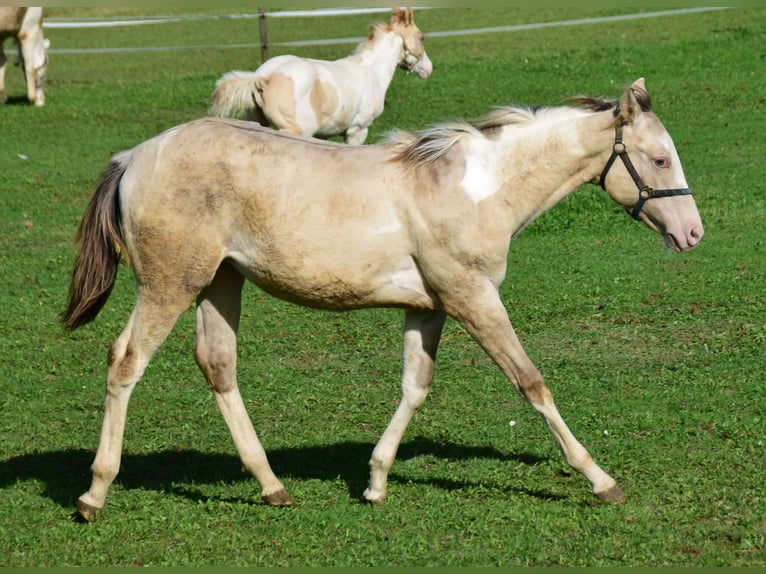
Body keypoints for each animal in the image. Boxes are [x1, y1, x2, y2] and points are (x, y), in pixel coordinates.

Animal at [63, 79, 704, 524]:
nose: (693, 234)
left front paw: (374, 481)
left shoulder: (429, 308)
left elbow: (415, 387)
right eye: (660, 158)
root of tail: (134, 157)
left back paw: (272, 486)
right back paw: (94, 493)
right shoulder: (474, 299)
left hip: (220, 282)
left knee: (218, 366)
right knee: (125, 362)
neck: (479, 187)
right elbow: (531, 383)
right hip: (170, 284)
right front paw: (600, 479)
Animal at [210, 7, 436, 145]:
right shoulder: (358, 130)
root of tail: (265, 77)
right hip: (296, 131)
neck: (370, 72)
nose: (428, 69)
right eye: (421, 37)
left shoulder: (324, 135)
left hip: (257, 124)